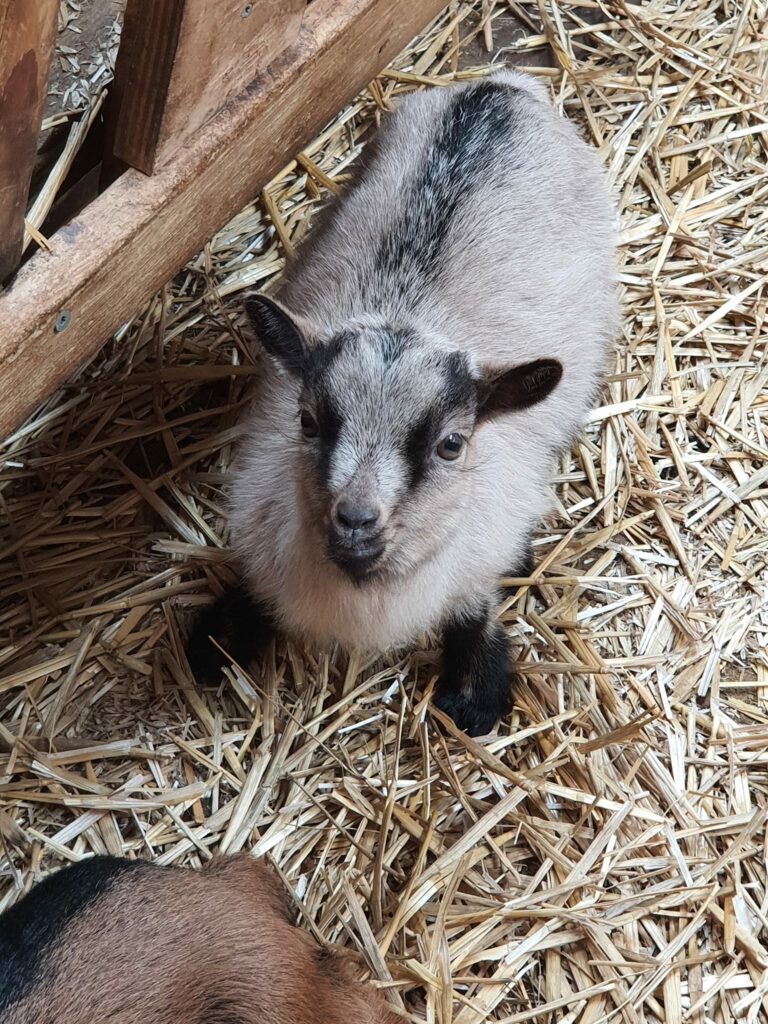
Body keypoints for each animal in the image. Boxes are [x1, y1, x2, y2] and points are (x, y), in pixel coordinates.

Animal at [191, 68, 618, 733]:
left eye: (451, 444)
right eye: (307, 421)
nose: (355, 520)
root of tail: (501, 90)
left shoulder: (480, 553)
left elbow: (476, 609)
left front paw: (472, 695)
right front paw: (220, 637)